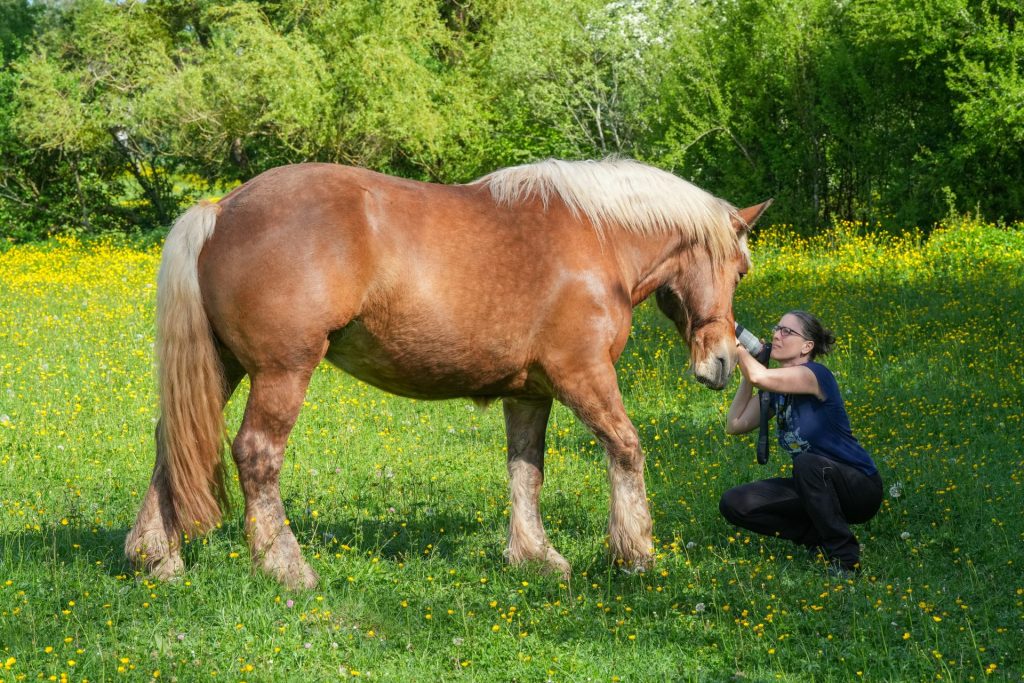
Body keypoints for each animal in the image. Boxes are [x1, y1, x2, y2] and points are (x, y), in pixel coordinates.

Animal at [125, 158, 771, 589]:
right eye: (738, 269)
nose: (721, 361)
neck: (598, 240)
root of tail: (221, 210)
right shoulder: (582, 377)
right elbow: (627, 449)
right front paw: (634, 553)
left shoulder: (530, 393)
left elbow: (526, 472)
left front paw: (534, 555)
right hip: (282, 371)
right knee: (257, 454)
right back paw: (286, 567)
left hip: (223, 367)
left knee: (172, 442)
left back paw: (158, 557)